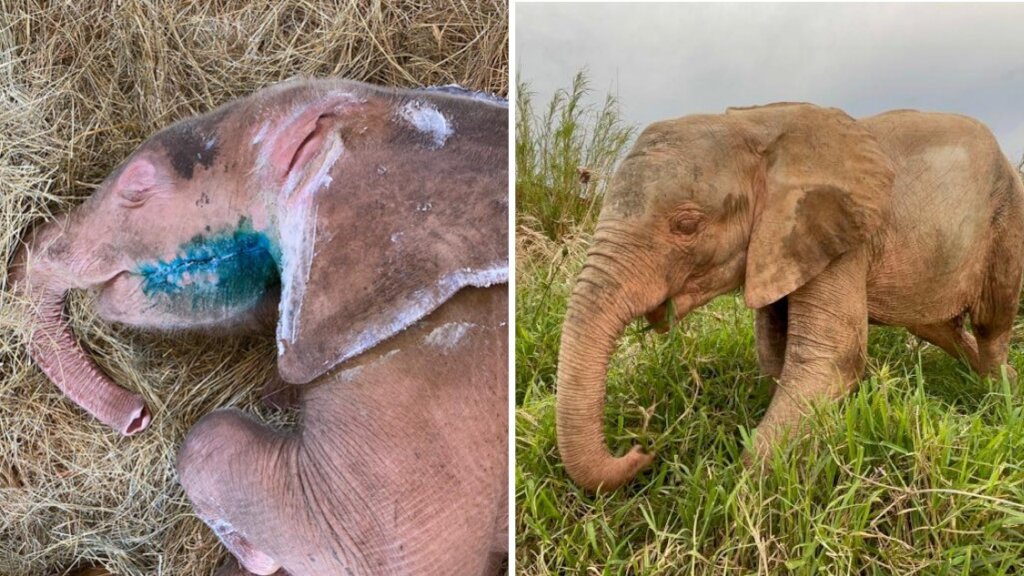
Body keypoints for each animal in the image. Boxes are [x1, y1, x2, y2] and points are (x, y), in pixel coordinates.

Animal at [556, 102, 1024, 492]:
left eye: (686, 225)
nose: (642, 449)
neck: (755, 125)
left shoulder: (841, 239)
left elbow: (830, 359)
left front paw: (738, 488)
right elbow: (774, 350)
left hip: (1008, 220)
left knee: (991, 324)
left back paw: (999, 395)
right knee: (936, 327)